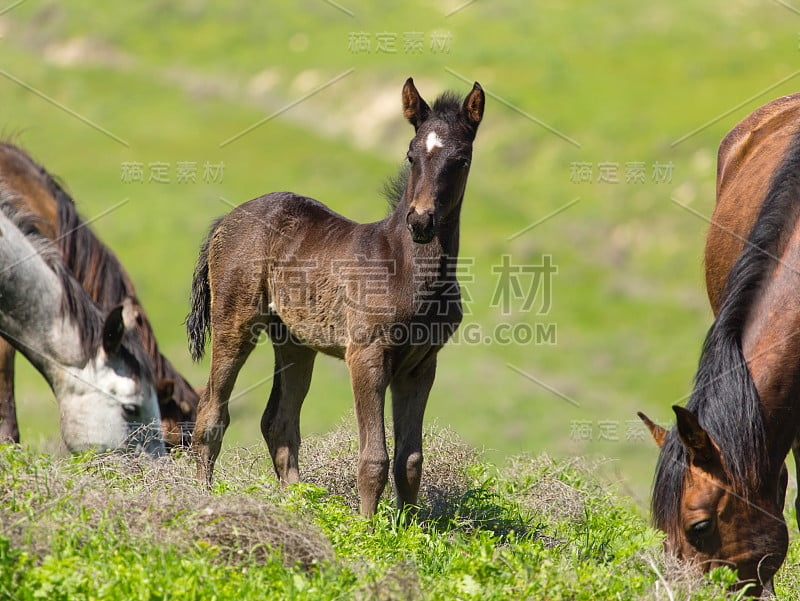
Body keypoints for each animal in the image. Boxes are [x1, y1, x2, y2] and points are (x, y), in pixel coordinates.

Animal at [188, 77, 484, 512]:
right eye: (411, 156)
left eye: (461, 160)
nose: (420, 221)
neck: (408, 271)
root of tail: (225, 220)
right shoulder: (366, 355)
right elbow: (374, 459)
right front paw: (367, 527)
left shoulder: (421, 365)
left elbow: (410, 460)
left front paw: (408, 525)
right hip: (234, 322)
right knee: (211, 411)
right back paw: (203, 498)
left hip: (295, 340)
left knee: (278, 422)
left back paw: (296, 505)